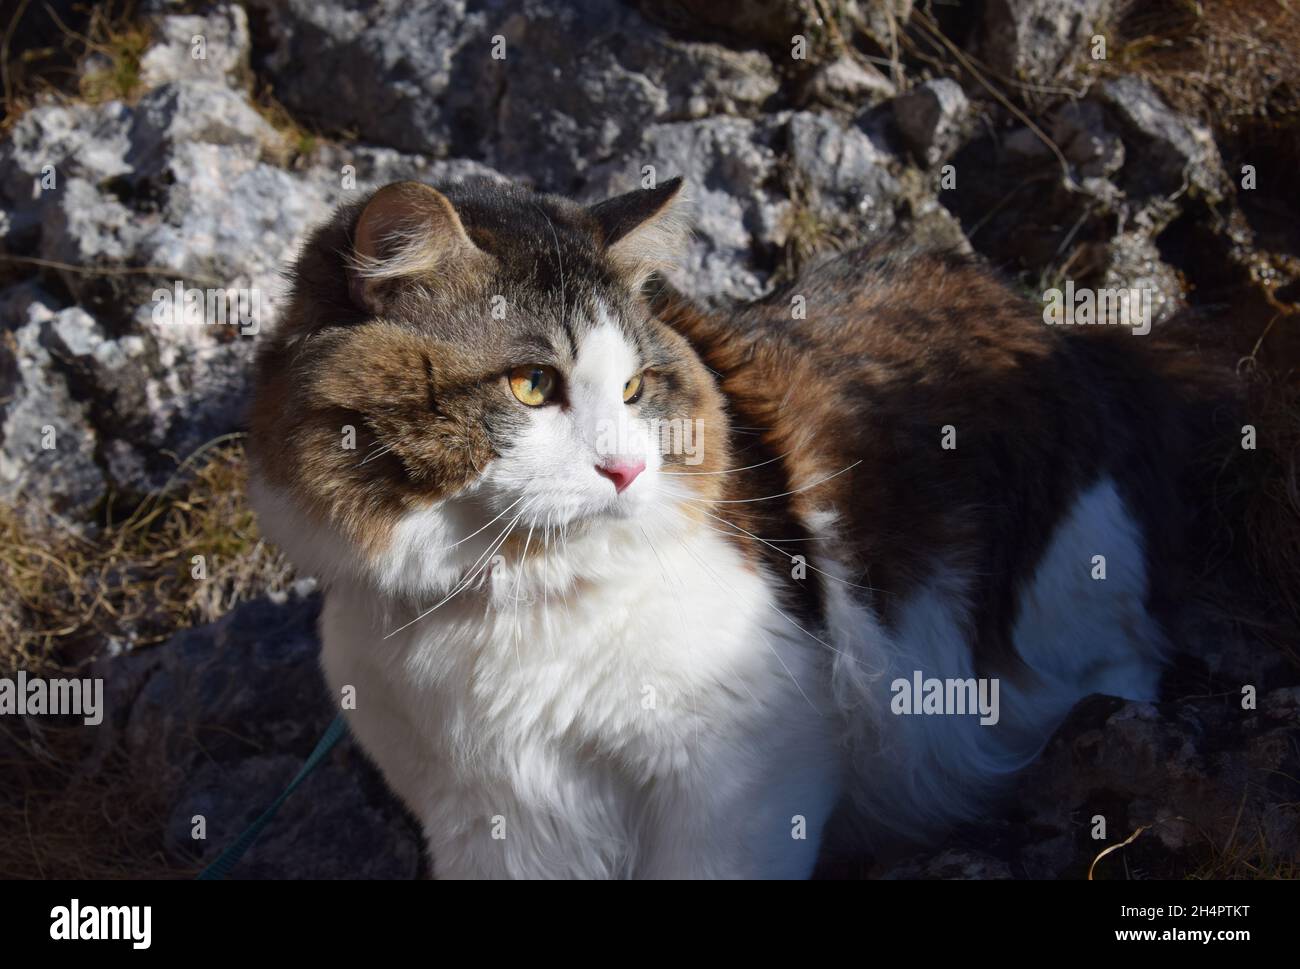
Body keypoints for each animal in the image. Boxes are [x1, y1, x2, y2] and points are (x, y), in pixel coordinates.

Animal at [248, 174, 1201, 879]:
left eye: (634, 389)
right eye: (531, 385)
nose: (627, 469)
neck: (510, 601)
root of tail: (997, 288)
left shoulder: (741, 772)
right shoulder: (496, 818)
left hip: (1061, 589)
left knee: (1122, 664)